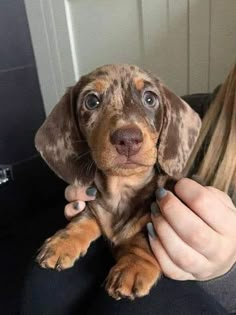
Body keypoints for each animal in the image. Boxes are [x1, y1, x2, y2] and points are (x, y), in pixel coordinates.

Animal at [35, 63, 201, 298]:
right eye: (92, 101)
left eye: (150, 98)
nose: (128, 139)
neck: (122, 190)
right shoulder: (93, 204)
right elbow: (83, 219)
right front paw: (62, 242)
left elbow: (144, 238)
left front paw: (133, 265)